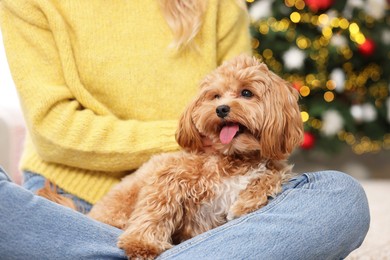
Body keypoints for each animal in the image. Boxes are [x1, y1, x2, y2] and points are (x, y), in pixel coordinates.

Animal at [88, 54, 304, 258]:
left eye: (246, 93)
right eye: (215, 96)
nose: (221, 109)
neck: (234, 157)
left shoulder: (275, 168)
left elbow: (270, 176)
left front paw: (245, 205)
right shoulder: (169, 176)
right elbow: (156, 209)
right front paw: (141, 244)